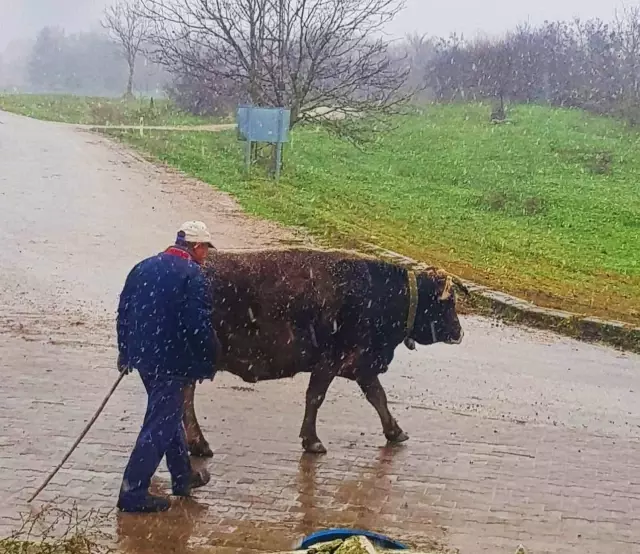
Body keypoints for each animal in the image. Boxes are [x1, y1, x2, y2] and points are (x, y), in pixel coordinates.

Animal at [182, 246, 462, 452]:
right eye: (448, 303)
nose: (459, 332)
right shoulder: (330, 361)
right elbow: (315, 397)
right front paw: (312, 440)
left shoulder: (362, 366)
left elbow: (378, 397)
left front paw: (395, 431)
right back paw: (198, 443)